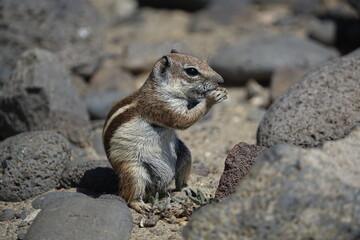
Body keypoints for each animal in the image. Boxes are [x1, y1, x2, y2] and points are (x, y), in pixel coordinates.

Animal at [102, 49, 228, 212]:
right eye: (192, 71)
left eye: (205, 63)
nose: (221, 81)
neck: (161, 88)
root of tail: (155, 189)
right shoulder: (161, 106)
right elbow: (183, 120)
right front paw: (212, 97)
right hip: (133, 171)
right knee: (128, 196)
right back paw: (139, 204)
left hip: (184, 155)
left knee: (180, 177)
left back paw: (185, 189)